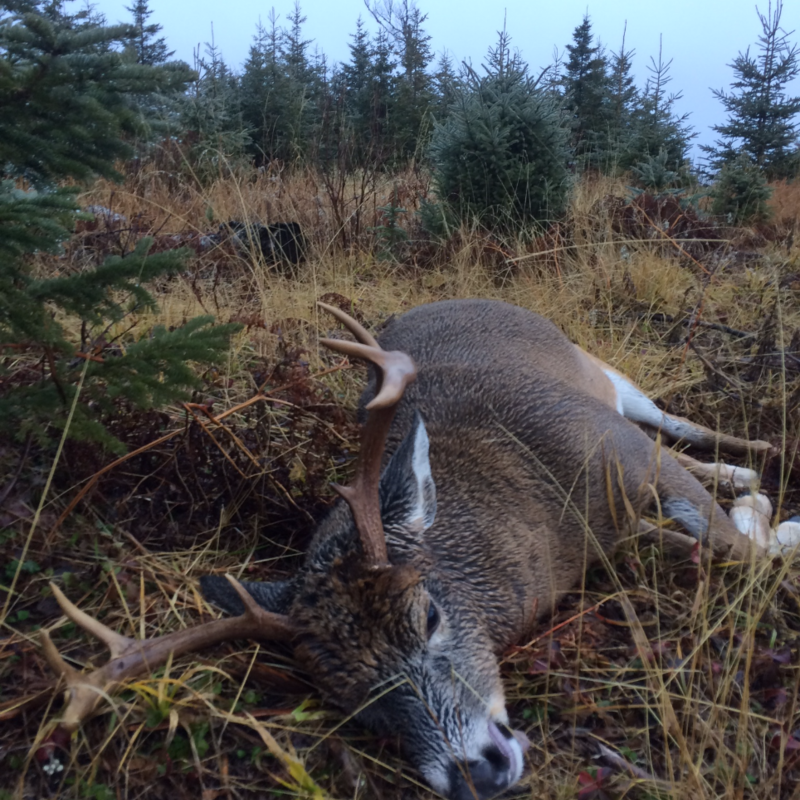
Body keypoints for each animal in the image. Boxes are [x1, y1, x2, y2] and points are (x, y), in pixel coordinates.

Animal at [42, 299, 798, 800]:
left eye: (428, 615)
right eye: (349, 697)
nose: (474, 774)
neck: (536, 505)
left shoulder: (628, 457)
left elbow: (741, 551)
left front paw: (772, 520)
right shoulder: (618, 535)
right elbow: (707, 546)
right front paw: (760, 513)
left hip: (608, 380)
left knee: (679, 422)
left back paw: (755, 461)